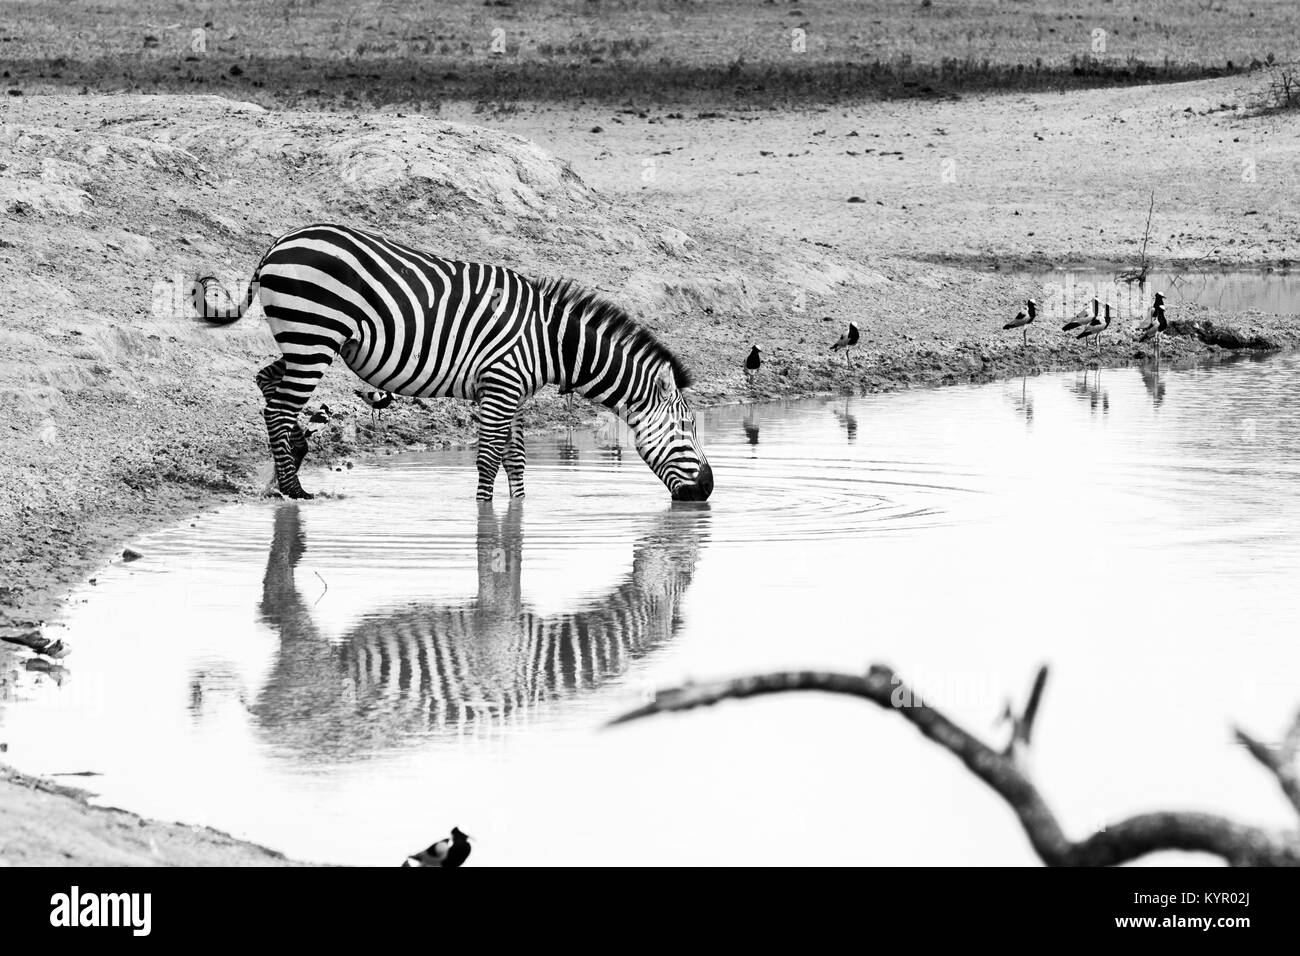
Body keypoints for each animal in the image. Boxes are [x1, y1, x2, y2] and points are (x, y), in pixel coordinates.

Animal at [197, 222, 717, 502]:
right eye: (687, 430)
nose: (709, 491)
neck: (549, 342)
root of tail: (280, 243)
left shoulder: (514, 392)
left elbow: (516, 462)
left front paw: (518, 513)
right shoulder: (501, 385)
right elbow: (489, 460)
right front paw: (483, 514)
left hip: (302, 340)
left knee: (267, 383)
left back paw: (290, 466)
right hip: (314, 336)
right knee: (280, 406)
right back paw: (293, 490)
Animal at [220, 502, 712, 754]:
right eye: (687, 576)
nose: (697, 508)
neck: (547, 657)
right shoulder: (497, 624)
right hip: (311, 663)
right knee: (280, 609)